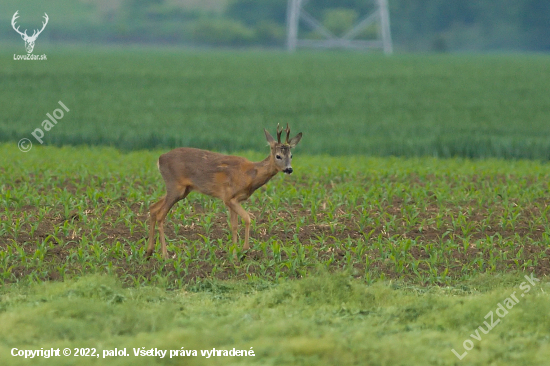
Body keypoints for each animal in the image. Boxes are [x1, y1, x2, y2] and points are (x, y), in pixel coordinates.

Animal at [144, 124, 304, 258]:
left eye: (291, 155)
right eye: (278, 156)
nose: (289, 169)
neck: (250, 175)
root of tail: (160, 159)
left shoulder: (234, 200)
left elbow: (234, 225)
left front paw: (234, 253)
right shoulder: (228, 197)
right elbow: (247, 218)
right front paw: (244, 250)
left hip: (182, 190)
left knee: (153, 207)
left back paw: (149, 251)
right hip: (175, 187)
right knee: (160, 215)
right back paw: (165, 255)